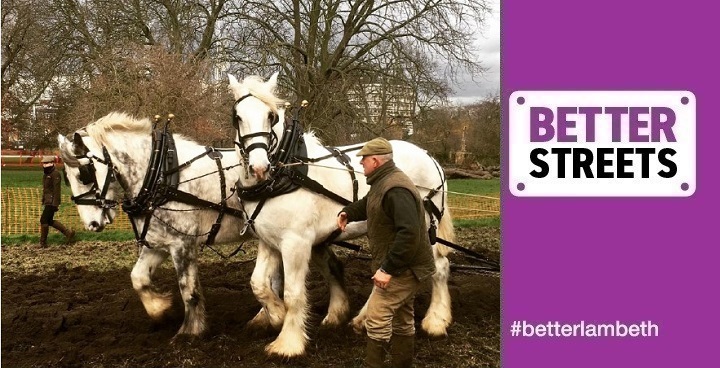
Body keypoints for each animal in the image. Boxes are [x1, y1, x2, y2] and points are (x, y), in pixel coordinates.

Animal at [57, 113, 348, 340]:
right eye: (65, 177)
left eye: (84, 174)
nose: (92, 223)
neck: (161, 173)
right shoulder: (158, 243)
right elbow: (138, 278)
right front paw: (160, 310)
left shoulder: (182, 243)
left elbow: (189, 289)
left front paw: (190, 331)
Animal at [229, 72, 456, 356]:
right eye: (237, 116)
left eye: (271, 116)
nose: (259, 167)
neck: (286, 173)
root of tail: (429, 156)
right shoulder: (269, 240)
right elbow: (258, 283)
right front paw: (276, 315)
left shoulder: (296, 243)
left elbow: (293, 293)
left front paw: (288, 343)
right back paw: (363, 319)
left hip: (422, 228)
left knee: (439, 267)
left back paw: (435, 320)